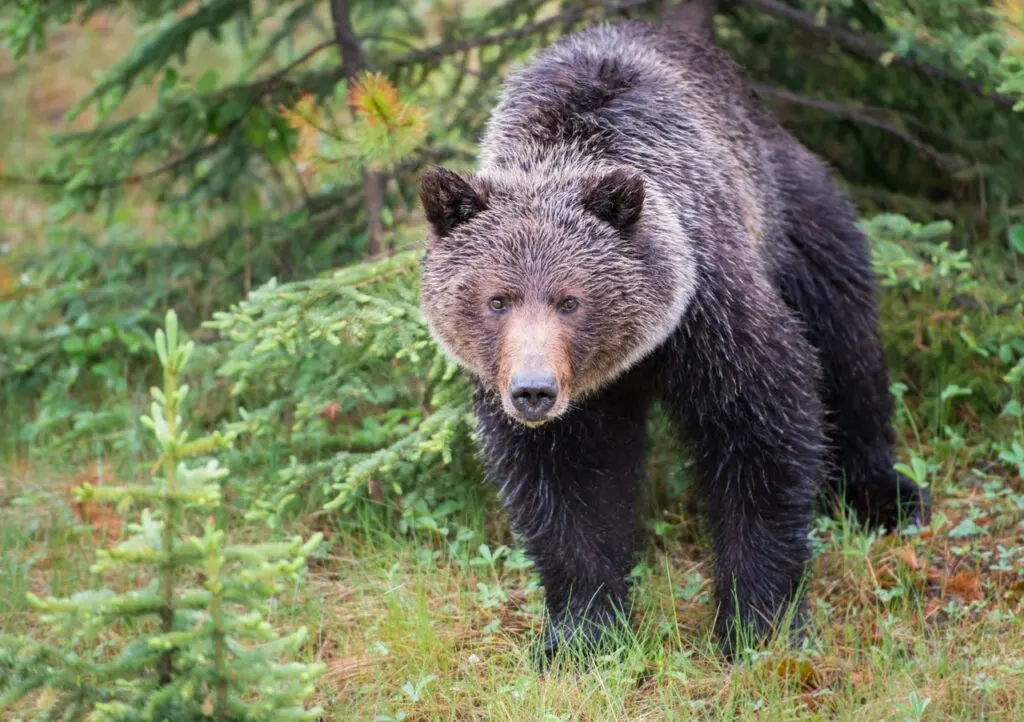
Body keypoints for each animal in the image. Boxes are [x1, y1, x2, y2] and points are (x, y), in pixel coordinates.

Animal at [413, 16, 929, 663]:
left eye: (570, 299)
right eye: (497, 299)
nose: (534, 391)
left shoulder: (709, 313)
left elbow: (761, 435)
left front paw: (757, 623)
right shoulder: (538, 399)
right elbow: (566, 487)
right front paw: (581, 632)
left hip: (794, 213)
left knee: (845, 337)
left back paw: (885, 492)